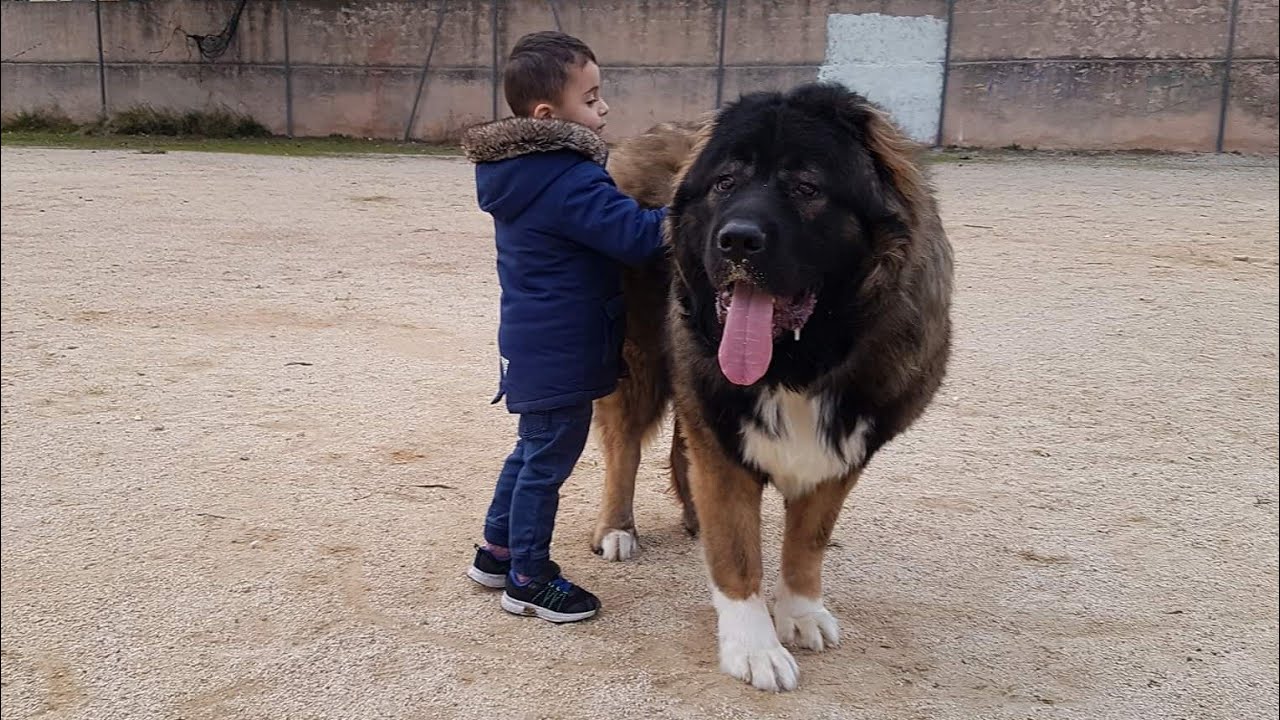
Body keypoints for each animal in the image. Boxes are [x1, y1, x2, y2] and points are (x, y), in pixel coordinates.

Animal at [588, 82, 952, 691]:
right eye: (725, 183)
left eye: (806, 187)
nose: (736, 240)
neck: (799, 364)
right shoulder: (722, 437)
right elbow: (738, 554)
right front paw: (754, 647)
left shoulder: (843, 448)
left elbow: (807, 542)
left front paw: (800, 611)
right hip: (635, 363)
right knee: (624, 449)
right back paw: (616, 528)